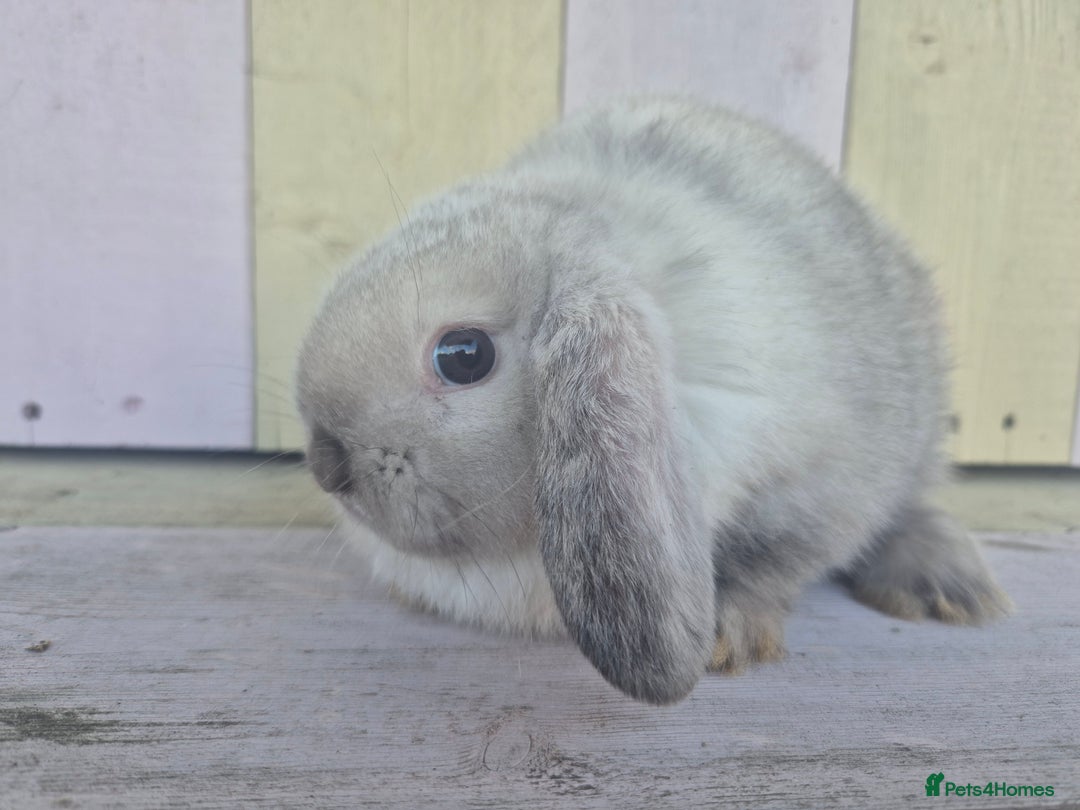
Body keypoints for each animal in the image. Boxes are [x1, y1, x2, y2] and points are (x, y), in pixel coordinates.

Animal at [295, 98, 1012, 705]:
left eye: (464, 354)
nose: (327, 465)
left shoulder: (821, 486)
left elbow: (778, 559)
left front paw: (727, 634)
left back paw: (946, 588)